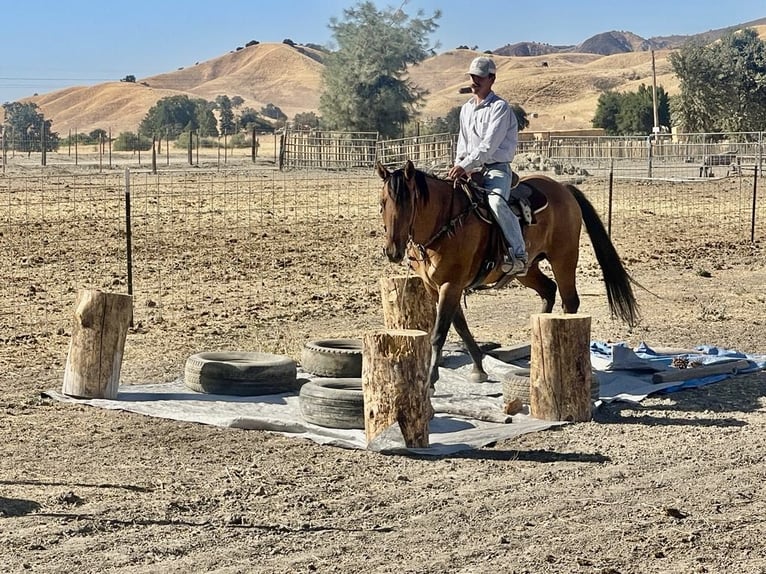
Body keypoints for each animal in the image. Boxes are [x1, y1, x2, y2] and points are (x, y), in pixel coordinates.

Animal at [376, 160, 640, 390]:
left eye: (408, 202)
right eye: (382, 202)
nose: (392, 251)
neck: (447, 221)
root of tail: (563, 188)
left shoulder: (451, 284)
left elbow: (439, 332)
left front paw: (430, 382)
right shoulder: (435, 286)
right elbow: (460, 326)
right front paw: (478, 368)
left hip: (564, 258)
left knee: (570, 301)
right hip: (527, 269)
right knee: (548, 290)